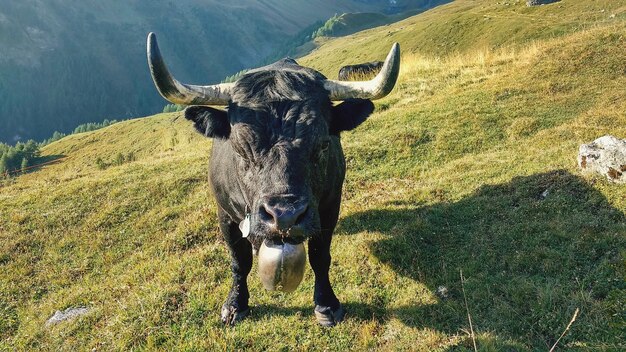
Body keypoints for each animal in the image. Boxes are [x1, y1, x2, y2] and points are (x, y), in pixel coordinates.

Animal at [147, 33, 400, 328]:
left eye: (323, 144)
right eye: (240, 148)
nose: (285, 216)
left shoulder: (329, 207)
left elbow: (320, 257)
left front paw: (326, 305)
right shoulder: (225, 215)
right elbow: (239, 261)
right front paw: (235, 304)